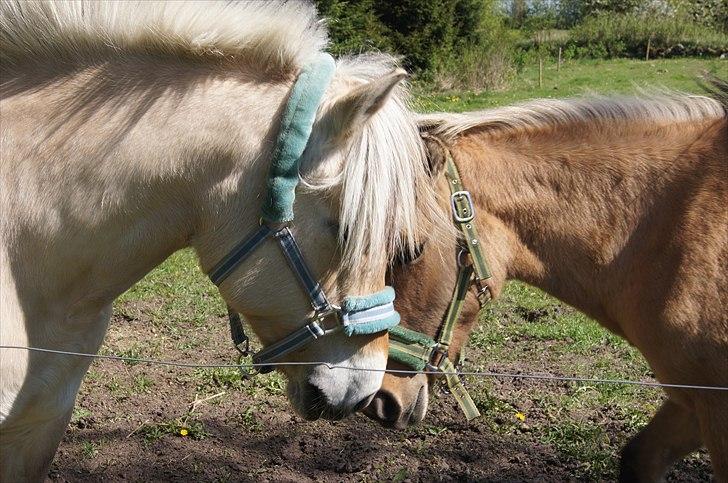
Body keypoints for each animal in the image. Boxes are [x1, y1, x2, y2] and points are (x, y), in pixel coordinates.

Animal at [366, 81, 724, 482]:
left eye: (408, 252)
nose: (381, 401)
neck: (669, 222)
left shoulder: (715, 406)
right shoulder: (691, 399)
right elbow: (639, 456)